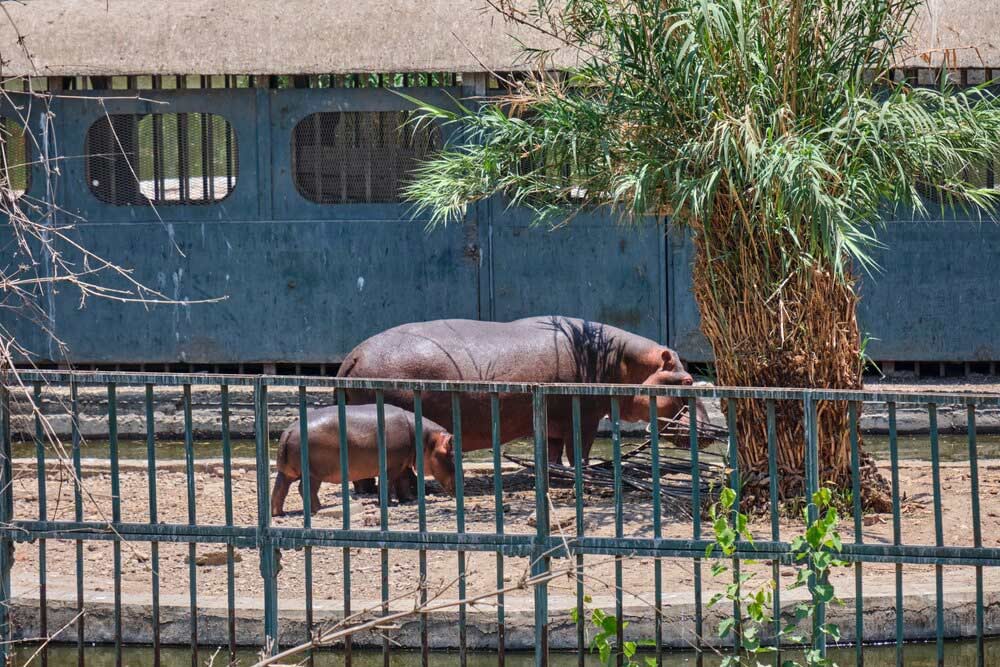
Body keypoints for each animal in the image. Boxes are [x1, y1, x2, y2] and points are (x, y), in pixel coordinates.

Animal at [266, 402, 454, 516]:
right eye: (451, 454)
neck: (426, 438)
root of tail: (289, 430)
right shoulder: (392, 466)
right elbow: (388, 484)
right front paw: (389, 504)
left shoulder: (402, 465)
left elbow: (403, 483)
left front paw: (408, 500)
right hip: (314, 473)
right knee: (305, 489)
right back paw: (319, 509)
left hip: (286, 473)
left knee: (279, 489)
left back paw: (279, 513)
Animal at [336, 318, 704, 470]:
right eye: (687, 380)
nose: (709, 432)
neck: (627, 364)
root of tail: (352, 355)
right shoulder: (585, 417)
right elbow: (580, 451)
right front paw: (588, 471)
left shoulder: (555, 422)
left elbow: (554, 453)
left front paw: (555, 472)